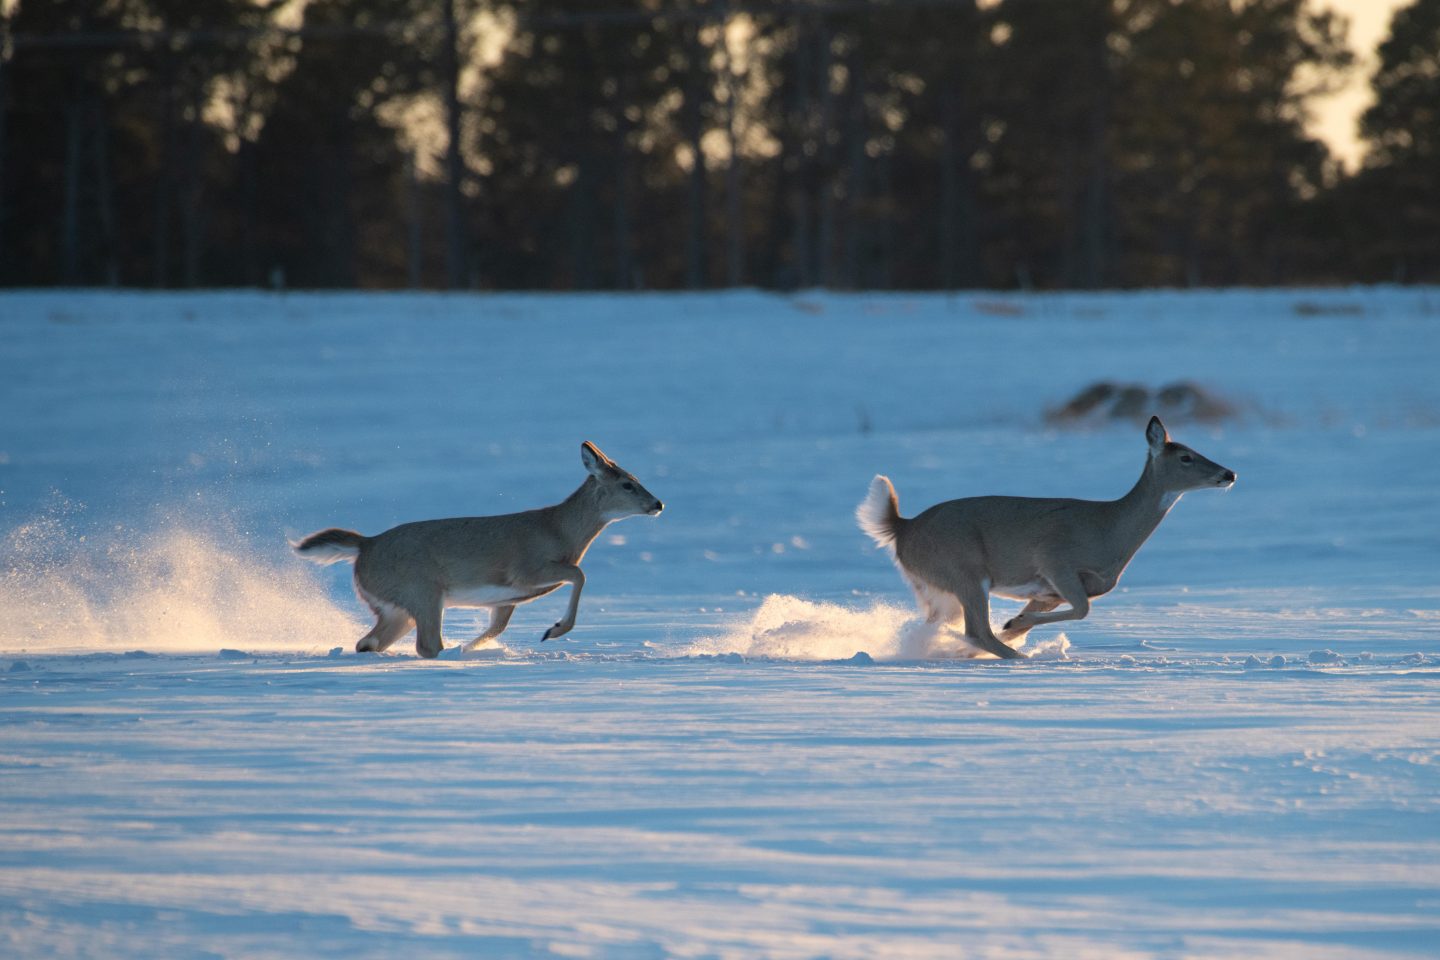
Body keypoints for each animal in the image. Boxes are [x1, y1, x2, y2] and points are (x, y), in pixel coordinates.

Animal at [852, 417, 1238, 662]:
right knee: (977, 629)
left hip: (935, 587)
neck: (1109, 532)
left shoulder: (1049, 591)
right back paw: (1018, 658)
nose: (1229, 473)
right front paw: (1014, 625)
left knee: (937, 627)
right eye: (1186, 457)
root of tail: (902, 527)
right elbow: (1083, 610)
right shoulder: (1055, 561)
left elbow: (1049, 614)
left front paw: (1014, 623)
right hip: (963, 569)